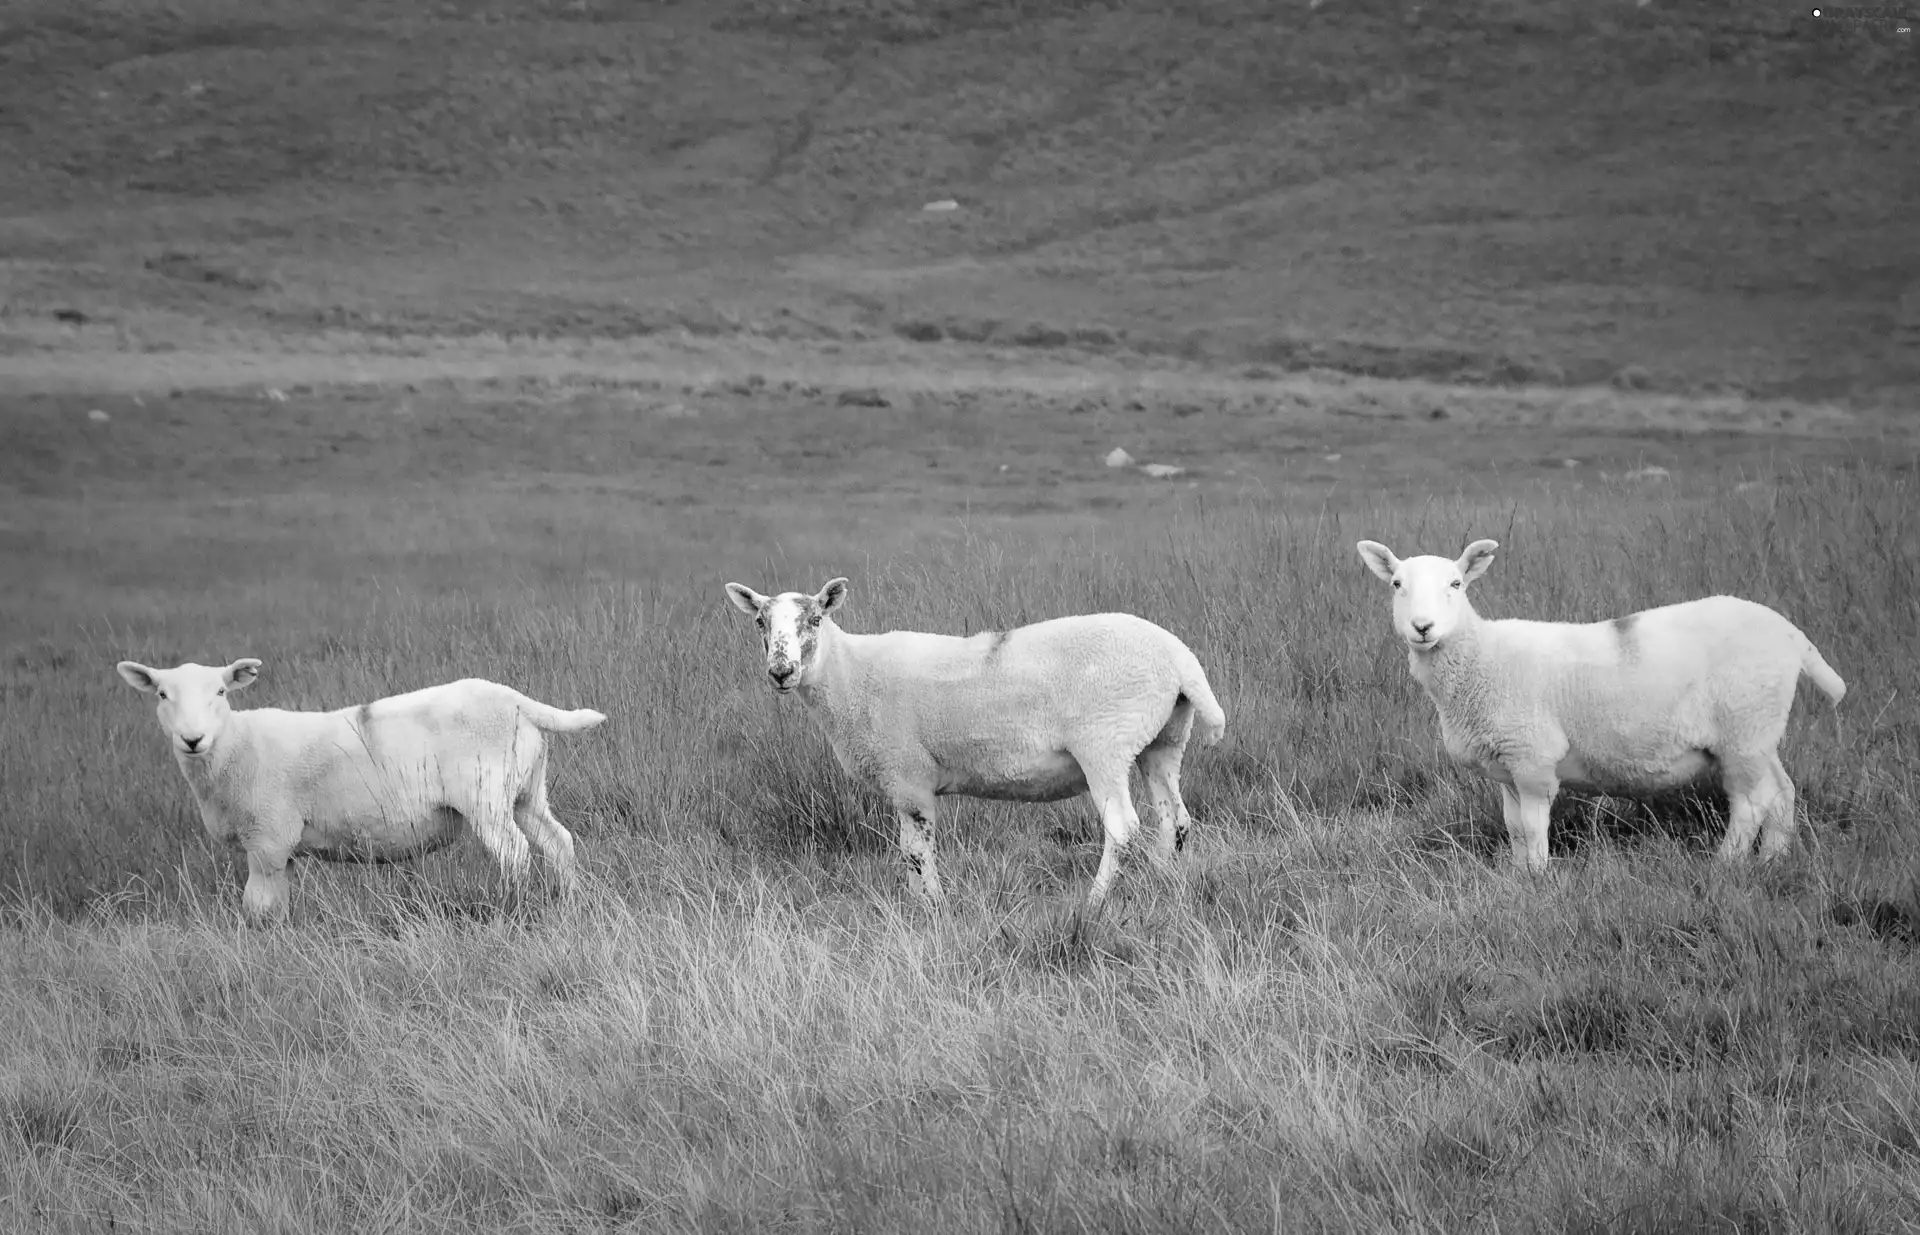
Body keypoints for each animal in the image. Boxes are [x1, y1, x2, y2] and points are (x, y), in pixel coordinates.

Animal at [114, 660, 606, 921]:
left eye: (220, 691)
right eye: (161, 695)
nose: (192, 739)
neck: (235, 746)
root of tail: (514, 699)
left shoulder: (268, 839)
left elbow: (258, 906)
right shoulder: (279, 850)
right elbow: (278, 904)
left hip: (486, 794)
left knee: (515, 853)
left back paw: (513, 909)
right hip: (526, 790)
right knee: (558, 842)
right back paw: (571, 904)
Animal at [721, 576, 1228, 902]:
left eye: (815, 621)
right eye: (761, 623)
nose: (781, 671)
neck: (849, 676)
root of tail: (1180, 658)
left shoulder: (907, 776)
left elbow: (915, 851)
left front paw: (931, 908)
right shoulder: (904, 781)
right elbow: (909, 852)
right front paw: (919, 904)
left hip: (1105, 743)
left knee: (1123, 827)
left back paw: (1097, 900)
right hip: (1163, 739)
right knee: (1175, 820)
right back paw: (1163, 883)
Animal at [1351, 537, 1843, 868]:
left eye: (1456, 583)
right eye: (1396, 584)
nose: (1423, 627)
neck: (1482, 658)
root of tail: (1789, 633)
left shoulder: (1532, 757)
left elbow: (1532, 827)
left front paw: (1538, 877)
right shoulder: (1506, 766)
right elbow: (1513, 826)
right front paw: (1516, 875)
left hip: (1742, 728)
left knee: (1751, 802)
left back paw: (1728, 863)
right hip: (1759, 731)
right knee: (1781, 791)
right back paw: (1773, 861)